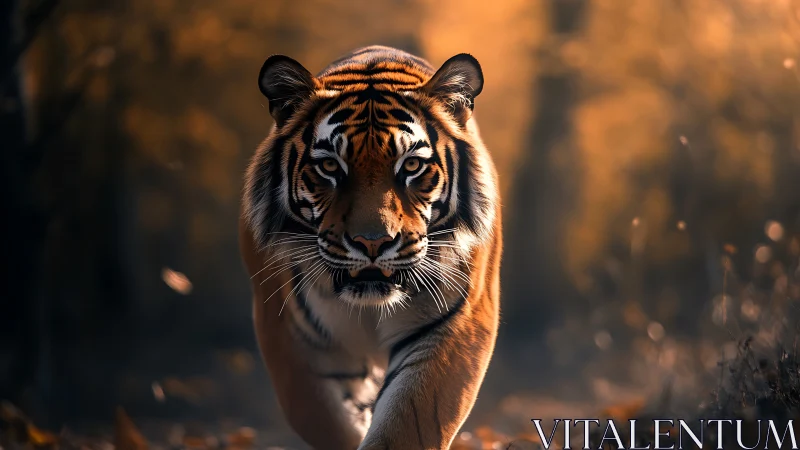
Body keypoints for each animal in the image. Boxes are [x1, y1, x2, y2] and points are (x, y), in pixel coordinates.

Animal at [239, 45, 502, 450]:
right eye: (331, 167)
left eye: (411, 165)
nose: (373, 242)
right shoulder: (288, 335)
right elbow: (323, 419)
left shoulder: (456, 324)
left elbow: (406, 425)